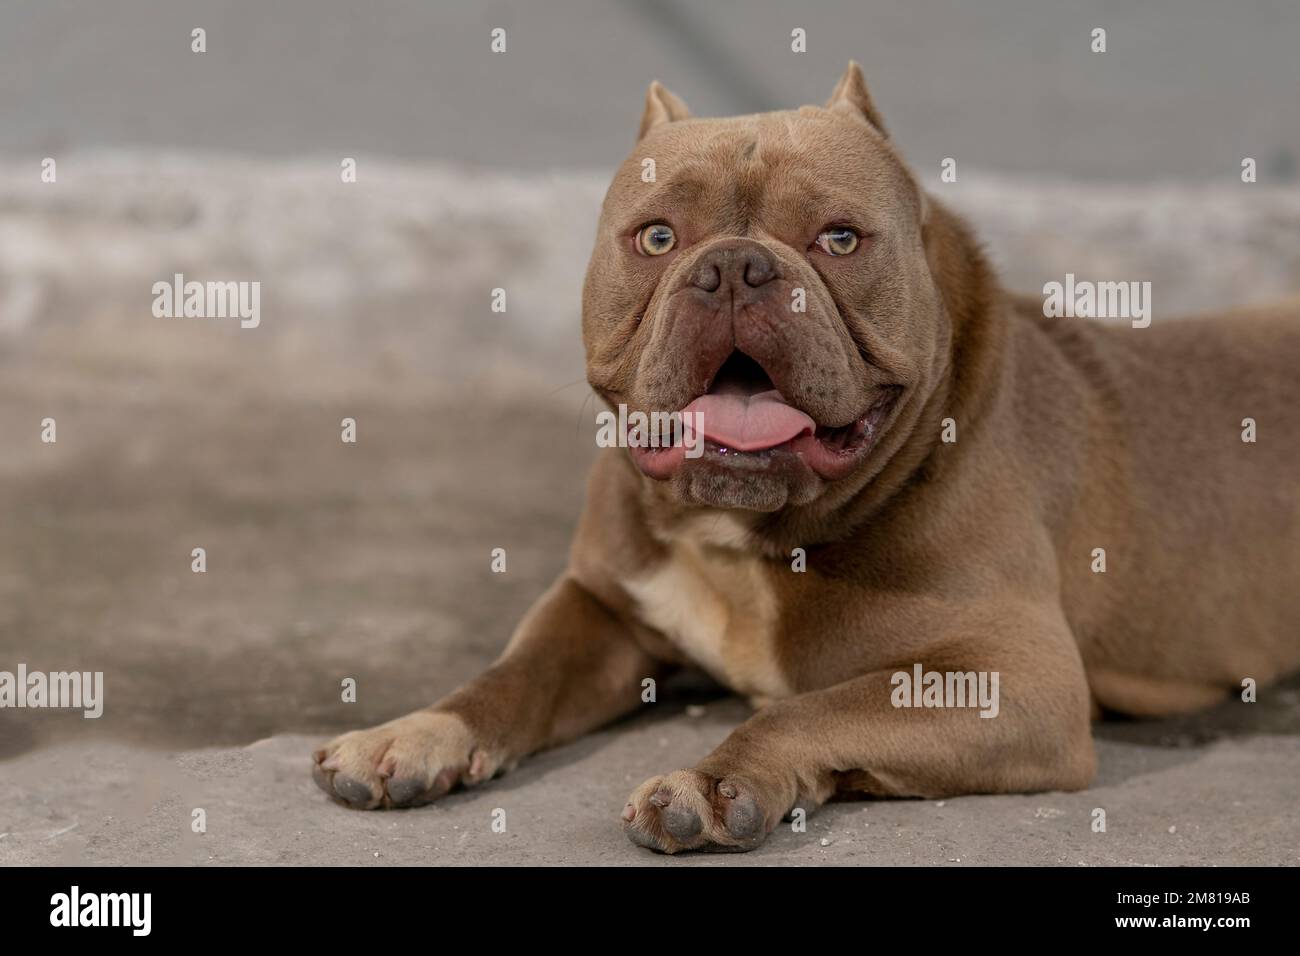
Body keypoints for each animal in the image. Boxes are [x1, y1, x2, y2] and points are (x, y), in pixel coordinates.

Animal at [314, 63, 1300, 858]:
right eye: (658, 237)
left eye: (839, 238)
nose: (735, 268)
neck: (745, 537)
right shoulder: (599, 603)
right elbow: (514, 673)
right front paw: (417, 731)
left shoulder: (1014, 678)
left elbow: (816, 705)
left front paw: (714, 785)